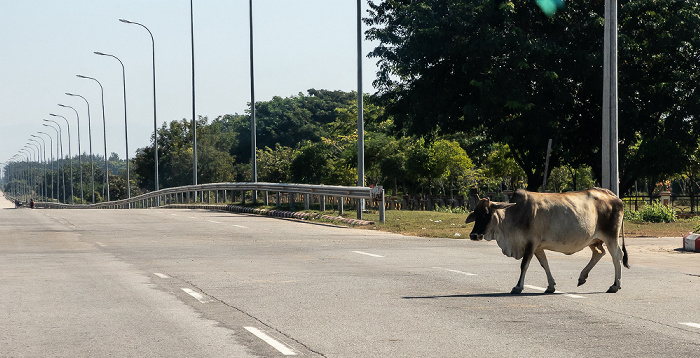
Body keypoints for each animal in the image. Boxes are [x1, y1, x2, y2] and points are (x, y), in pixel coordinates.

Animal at [464, 187, 628, 294]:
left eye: (486, 213)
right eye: (475, 213)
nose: (474, 235)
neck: (516, 214)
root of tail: (613, 195)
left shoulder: (531, 244)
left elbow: (524, 265)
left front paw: (518, 287)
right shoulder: (538, 247)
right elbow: (544, 264)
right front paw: (550, 286)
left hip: (611, 236)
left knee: (616, 256)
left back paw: (615, 285)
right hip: (593, 240)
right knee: (599, 253)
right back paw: (583, 277)